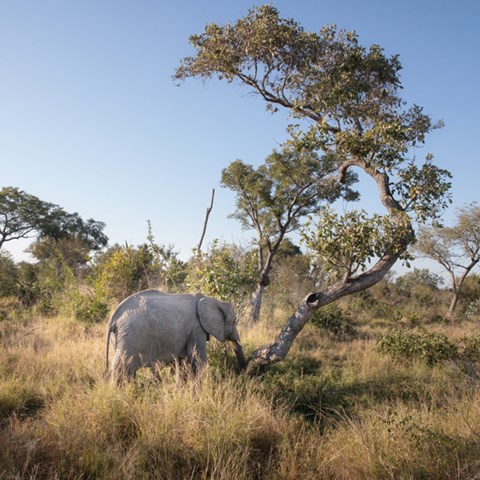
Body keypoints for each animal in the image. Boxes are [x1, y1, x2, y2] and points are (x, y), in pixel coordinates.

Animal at [105, 288, 248, 382]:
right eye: (234, 322)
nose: (243, 372)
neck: (210, 299)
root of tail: (113, 319)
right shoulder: (196, 328)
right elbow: (198, 359)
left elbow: (181, 362)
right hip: (129, 337)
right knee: (121, 367)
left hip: (119, 338)